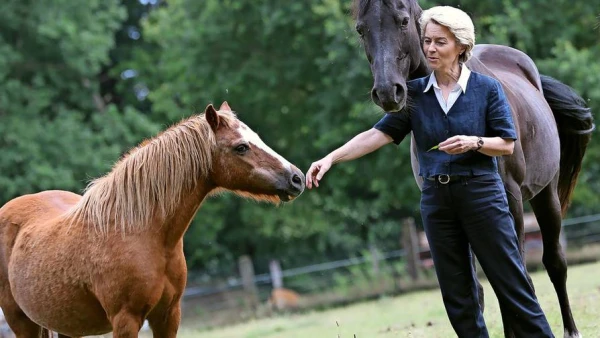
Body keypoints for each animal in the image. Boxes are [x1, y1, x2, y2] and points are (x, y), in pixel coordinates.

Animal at [0, 101, 302, 336]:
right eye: (241, 147)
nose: (296, 178)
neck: (141, 232)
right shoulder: (126, 320)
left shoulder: (168, 316)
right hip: (22, 322)